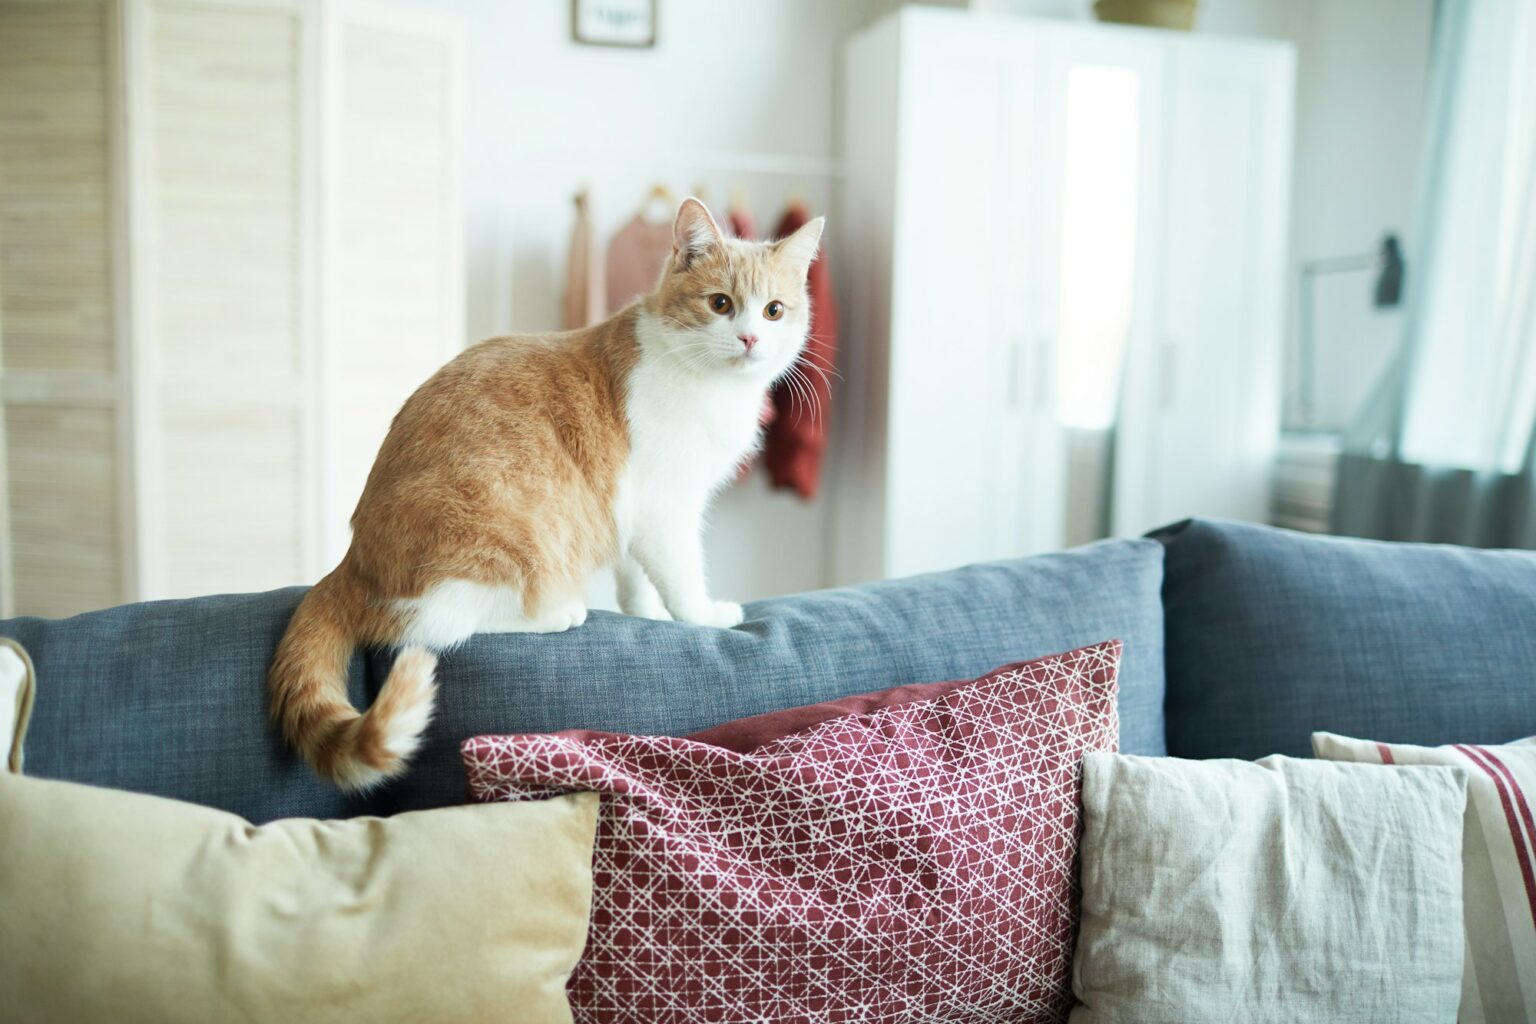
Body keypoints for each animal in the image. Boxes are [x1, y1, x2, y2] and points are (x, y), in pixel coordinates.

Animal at [276, 202, 829, 792]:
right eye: (720, 303)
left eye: (773, 311)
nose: (750, 339)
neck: (708, 384)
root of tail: (351, 565)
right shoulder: (665, 507)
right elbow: (680, 575)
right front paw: (703, 616)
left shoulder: (630, 511)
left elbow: (636, 579)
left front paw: (648, 614)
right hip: (507, 537)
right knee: (437, 628)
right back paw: (557, 613)